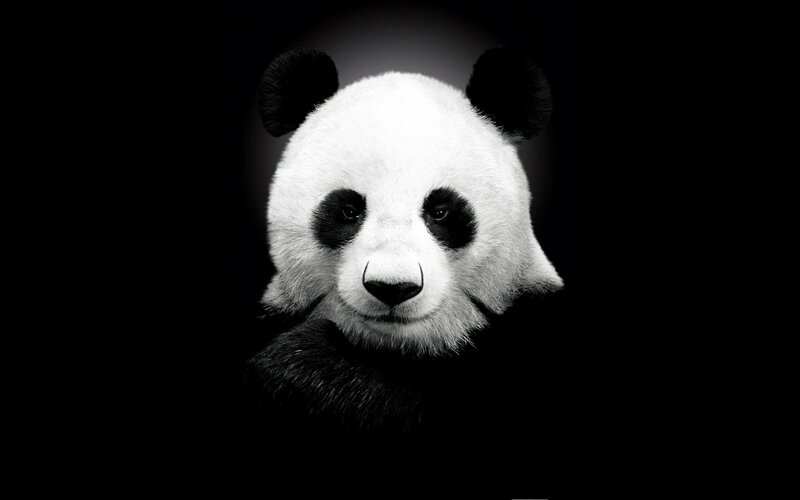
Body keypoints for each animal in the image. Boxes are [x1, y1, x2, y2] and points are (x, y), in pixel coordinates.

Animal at [239, 49, 581, 478]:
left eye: (441, 211)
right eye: (349, 209)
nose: (393, 287)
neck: (396, 351)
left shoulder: (536, 339)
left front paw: (304, 367)